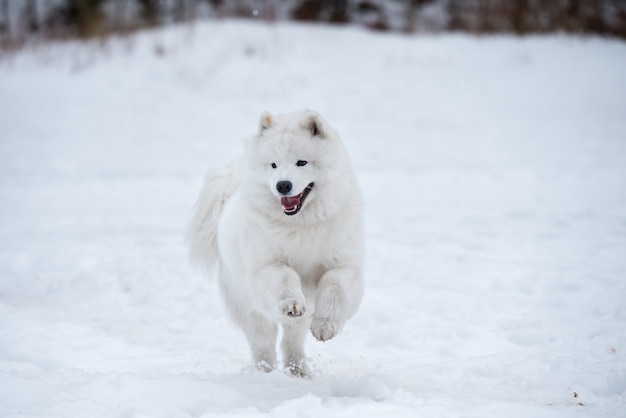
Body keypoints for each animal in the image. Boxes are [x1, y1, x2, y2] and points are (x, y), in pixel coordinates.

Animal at [188, 109, 364, 378]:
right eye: (273, 165)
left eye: (301, 162)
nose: (282, 185)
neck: (302, 224)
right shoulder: (267, 264)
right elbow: (285, 278)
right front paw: (291, 303)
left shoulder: (344, 265)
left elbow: (334, 286)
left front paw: (325, 326)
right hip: (251, 306)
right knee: (264, 343)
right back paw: (265, 372)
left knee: (292, 340)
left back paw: (299, 371)